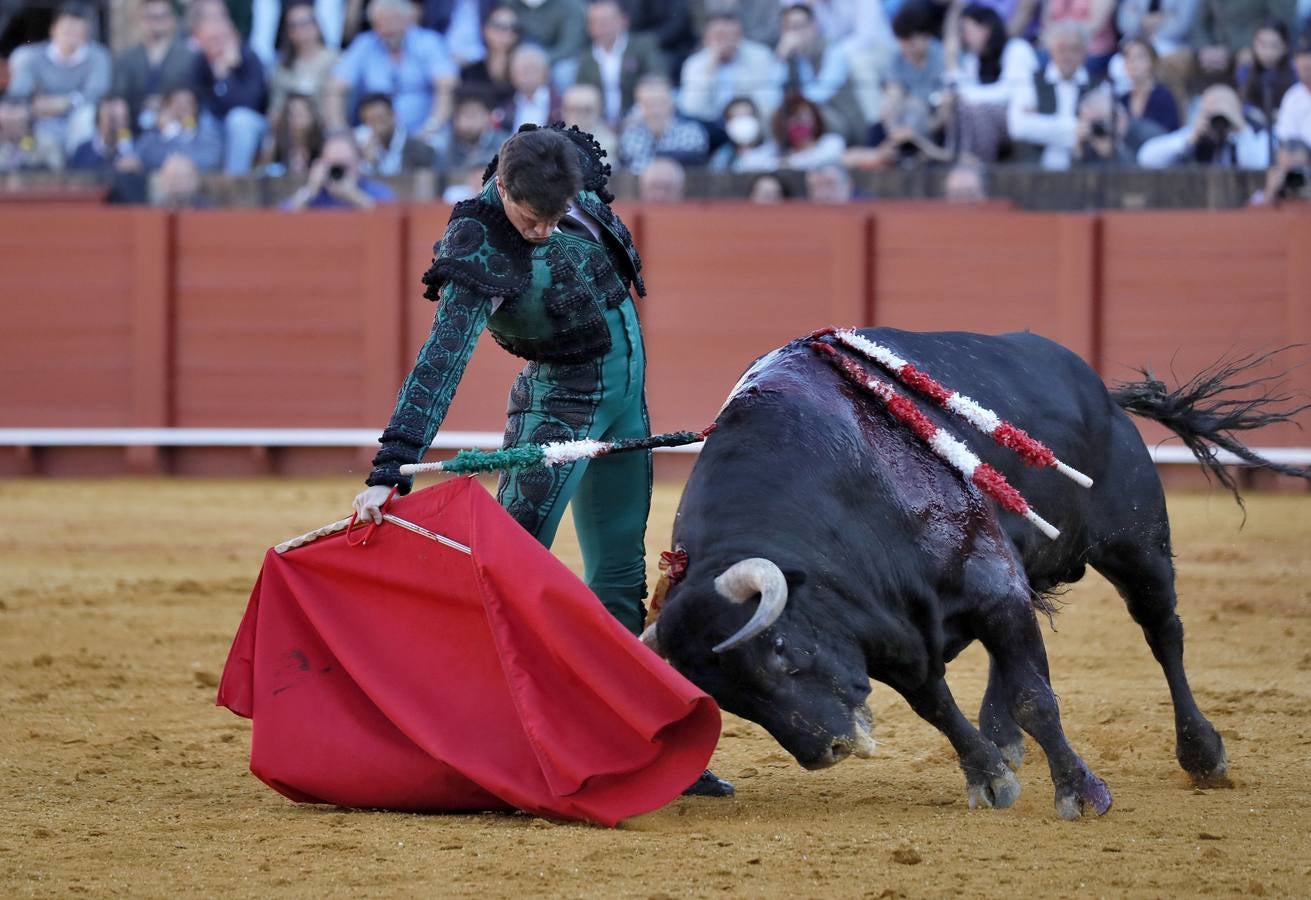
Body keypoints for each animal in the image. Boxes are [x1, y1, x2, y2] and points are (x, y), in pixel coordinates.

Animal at [647, 329, 1311, 823]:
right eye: (733, 701)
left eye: (780, 652)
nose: (828, 751)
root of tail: (1099, 391)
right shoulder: (897, 631)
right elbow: (937, 705)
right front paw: (989, 775)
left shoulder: (989, 586)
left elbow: (1034, 697)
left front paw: (1081, 793)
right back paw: (1007, 743)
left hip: (1136, 543)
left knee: (1162, 632)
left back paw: (1202, 753)